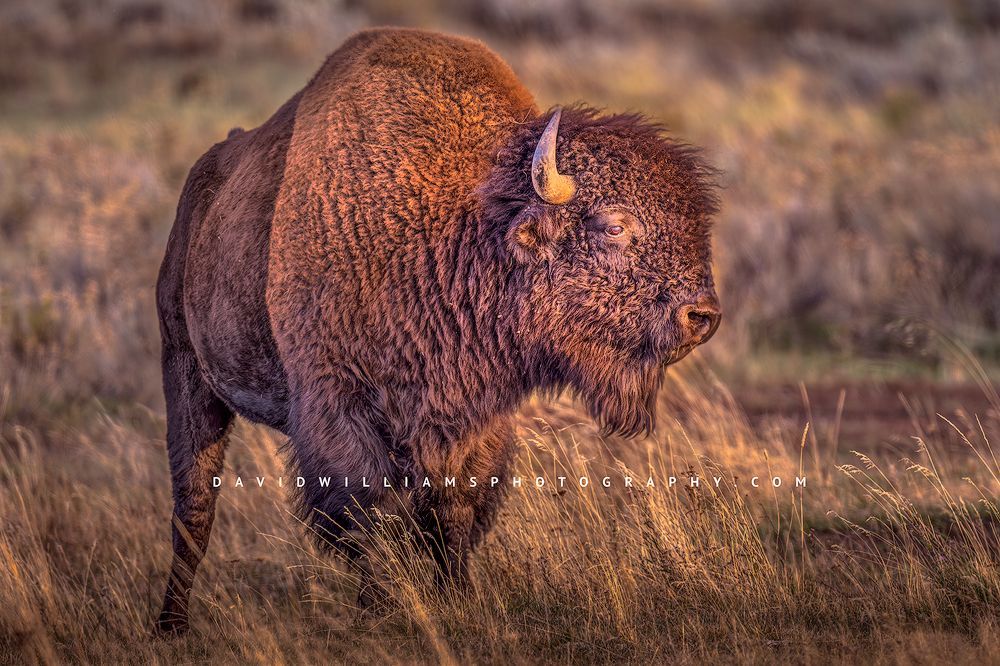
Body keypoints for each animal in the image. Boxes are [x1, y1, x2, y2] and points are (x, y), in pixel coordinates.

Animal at [155, 27, 720, 632]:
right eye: (613, 227)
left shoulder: (472, 417)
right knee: (193, 506)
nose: (703, 316)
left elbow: (454, 508)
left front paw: (459, 598)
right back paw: (172, 625)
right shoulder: (342, 408)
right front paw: (378, 610)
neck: (457, 231)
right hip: (186, 370)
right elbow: (368, 512)